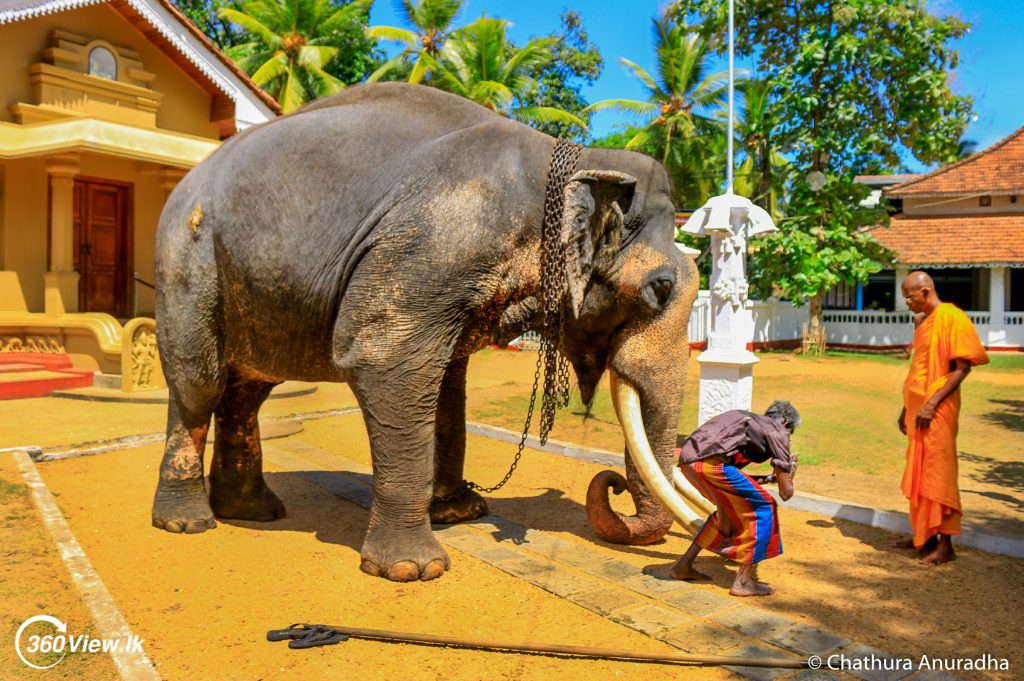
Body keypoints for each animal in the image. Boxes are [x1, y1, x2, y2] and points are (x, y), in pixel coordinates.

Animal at [151, 79, 704, 577]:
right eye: (659, 288)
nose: (612, 484)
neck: (565, 161)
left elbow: (447, 385)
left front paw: (461, 513)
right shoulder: (431, 248)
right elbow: (383, 359)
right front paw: (414, 569)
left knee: (248, 390)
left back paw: (254, 512)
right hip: (187, 260)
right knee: (199, 384)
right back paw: (187, 523)